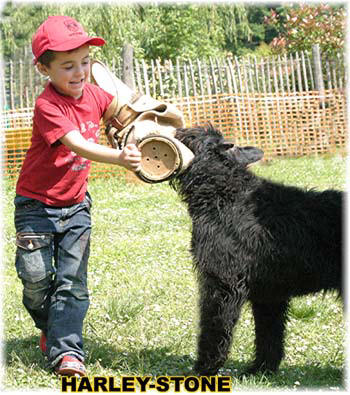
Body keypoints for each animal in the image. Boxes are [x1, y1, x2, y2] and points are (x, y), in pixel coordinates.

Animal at [171, 125, 344, 376]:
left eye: (192, 134)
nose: (175, 129)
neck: (223, 193)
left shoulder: (221, 283)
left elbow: (214, 328)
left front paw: (204, 369)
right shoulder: (269, 294)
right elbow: (268, 335)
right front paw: (262, 369)